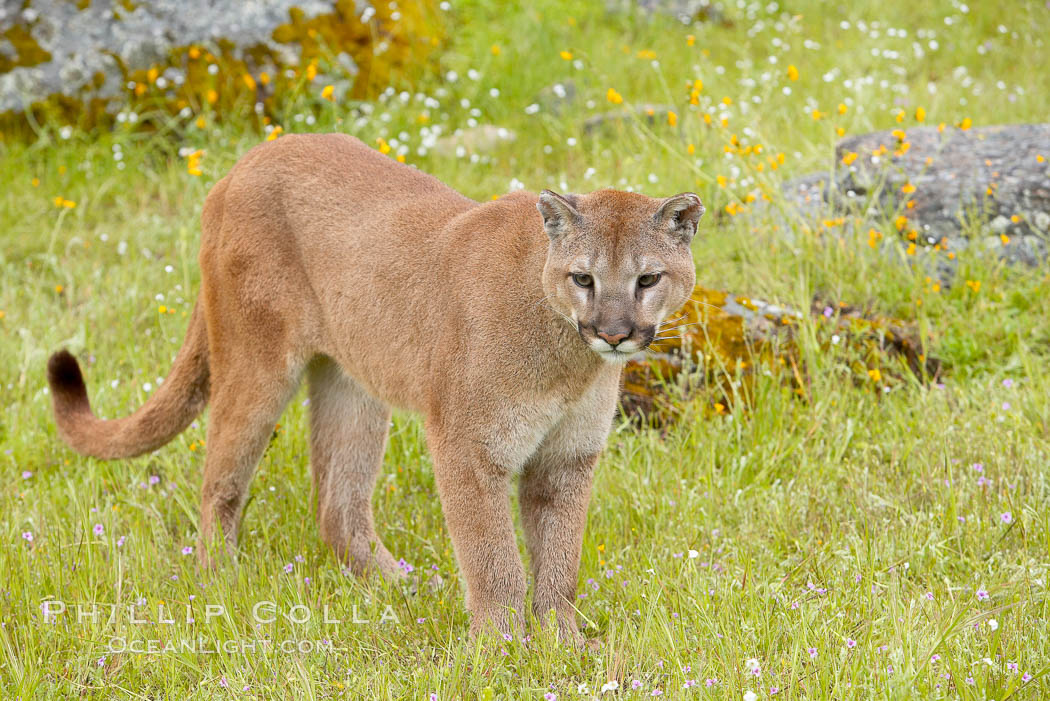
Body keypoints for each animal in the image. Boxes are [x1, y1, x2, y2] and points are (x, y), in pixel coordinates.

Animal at [51, 131, 705, 642]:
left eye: (648, 279)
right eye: (583, 279)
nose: (615, 333)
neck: (568, 358)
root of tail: (247, 159)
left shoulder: (567, 457)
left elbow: (560, 561)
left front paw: (561, 642)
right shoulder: (469, 447)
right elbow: (494, 559)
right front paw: (499, 649)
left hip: (352, 385)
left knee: (337, 505)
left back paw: (402, 587)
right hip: (257, 365)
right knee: (219, 480)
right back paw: (223, 583)